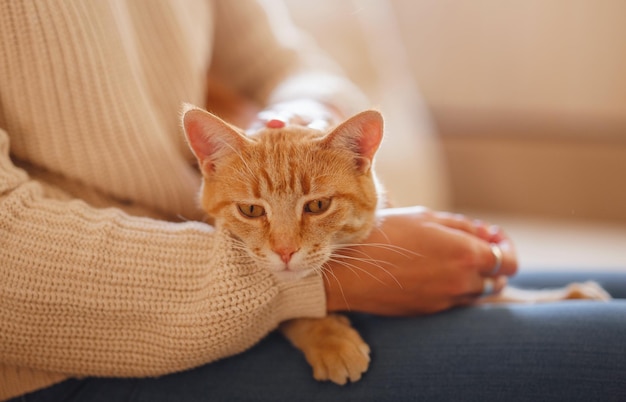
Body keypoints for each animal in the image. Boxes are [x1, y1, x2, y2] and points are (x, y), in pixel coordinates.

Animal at [182, 105, 608, 384]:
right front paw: (330, 339)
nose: (285, 251)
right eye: (252, 210)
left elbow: (508, 296)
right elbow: (291, 310)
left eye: (317, 205)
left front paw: (566, 295)